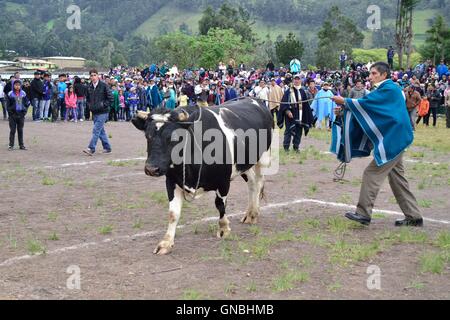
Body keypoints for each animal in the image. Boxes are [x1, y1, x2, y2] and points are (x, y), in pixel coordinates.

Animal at [132, 98, 272, 255]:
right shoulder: (171, 181)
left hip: (263, 158)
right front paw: (166, 243)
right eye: (147, 136)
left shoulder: (223, 181)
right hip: (243, 165)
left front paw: (224, 228)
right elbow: (173, 213)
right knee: (252, 183)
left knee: (259, 182)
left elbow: (220, 205)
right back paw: (249, 214)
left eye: (174, 137)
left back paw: (254, 213)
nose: (151, 169)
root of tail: (254, 100)